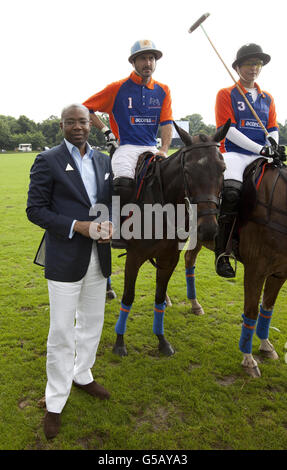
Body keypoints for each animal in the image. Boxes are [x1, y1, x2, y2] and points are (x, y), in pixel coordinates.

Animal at [112, 120, 232, 356]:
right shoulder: (134, 256)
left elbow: (159, 295)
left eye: (222, 168)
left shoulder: (169, 257)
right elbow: (128, 296)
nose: (208, 229)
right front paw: (120, 342)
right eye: (187, 170)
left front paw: (162, 340)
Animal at [184, 160, 287, 376]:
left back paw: (195, 304)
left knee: (188, 259)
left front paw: (266, 346)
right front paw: (248, 360)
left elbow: (267, 308)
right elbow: (251, 311)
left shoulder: (280, 272)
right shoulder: (255, 269)